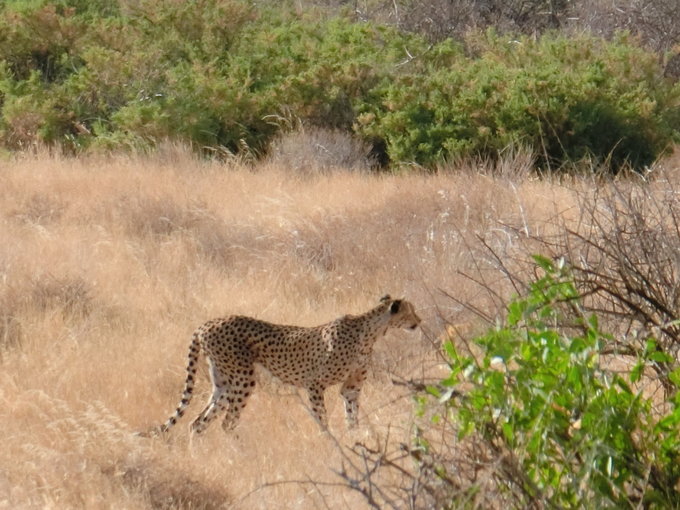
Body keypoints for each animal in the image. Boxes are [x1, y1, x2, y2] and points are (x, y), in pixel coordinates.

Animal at [150, 294, 420, 434]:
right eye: (411, 311)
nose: (419, 321)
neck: (370, 331)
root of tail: (206, 324)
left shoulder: (351, 387)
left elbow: (352, 417)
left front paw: (355, 439)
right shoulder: (315, 384)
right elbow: (323, 419)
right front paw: (330, 442)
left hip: (224, 383)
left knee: (198, 422)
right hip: (243, 379)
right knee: (227, 423)